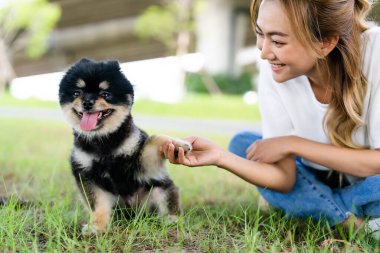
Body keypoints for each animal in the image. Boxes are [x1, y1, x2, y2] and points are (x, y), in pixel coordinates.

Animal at [59, 58, 193, 233]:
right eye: (77, 93)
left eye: (105, 94)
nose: (87, 102)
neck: (103, 141)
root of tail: (132, 212)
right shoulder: (86, 173)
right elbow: (98, 205)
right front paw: (97, 226)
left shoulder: (140, 164)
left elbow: (154, 138)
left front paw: (176, 144)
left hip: (157, 189)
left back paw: (172, 218)